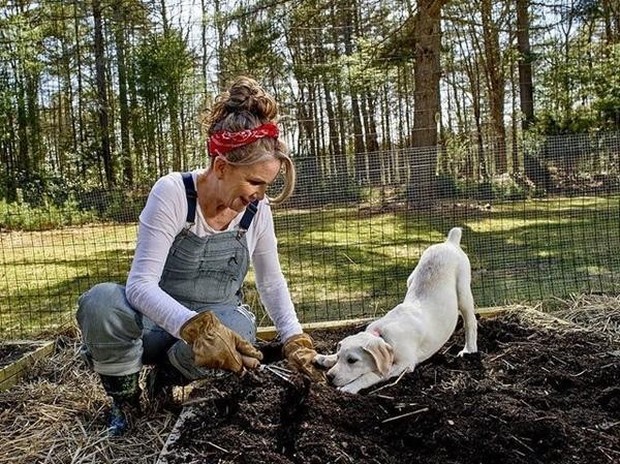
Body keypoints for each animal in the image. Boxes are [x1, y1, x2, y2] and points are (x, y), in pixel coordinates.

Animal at [314, 227, 480, 394]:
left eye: (352, 360)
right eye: (339, 357)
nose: (329, 377)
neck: (383, 335)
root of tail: (450, 243)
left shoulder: (403, 365)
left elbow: (371, 375)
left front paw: (349, 387)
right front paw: (326, 357)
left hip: (463, 292)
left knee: (470, 322)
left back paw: (468, 350)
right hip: (410, 279)